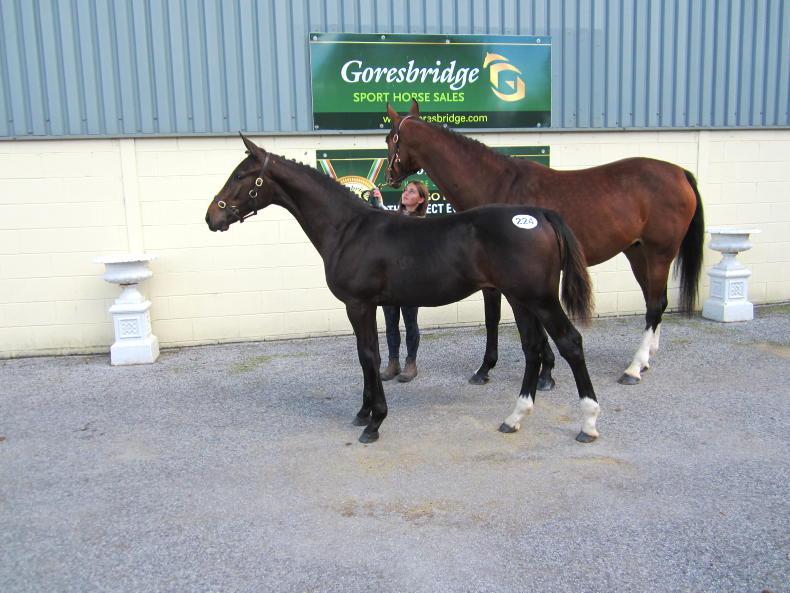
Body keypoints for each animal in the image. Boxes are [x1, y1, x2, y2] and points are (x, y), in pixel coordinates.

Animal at [205, 134, 601, 445]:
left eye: (240, 175)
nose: (212, 217)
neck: (348, 229)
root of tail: (539, 214)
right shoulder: (367, 306)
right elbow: (367, 355)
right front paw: (364, 412)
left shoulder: (358, 304)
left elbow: (369, 356)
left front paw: (374, 422)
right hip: (521, 299)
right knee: (533, 348)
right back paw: (514, 418)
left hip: (540, 299)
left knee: (570, 343)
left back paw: (588, 423)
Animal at [384, 101, 705, 388]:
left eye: (390, 138)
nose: (390, 177)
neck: (497, 184)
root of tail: (679, 172)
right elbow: (499, 320)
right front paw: (518, 370)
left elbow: (514, 323)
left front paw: (530, 373)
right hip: (637, 253)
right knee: (655, 302)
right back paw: (647, 358)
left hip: (659, 254)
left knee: (655, 305)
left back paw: (634, 368)